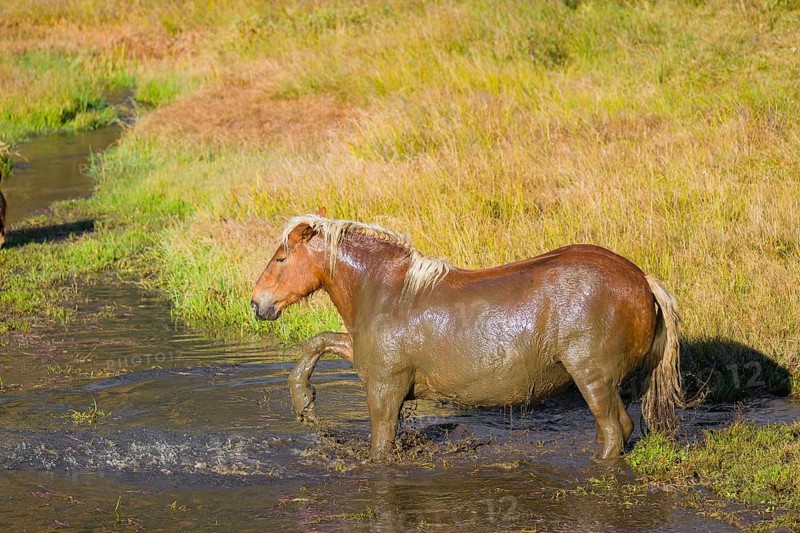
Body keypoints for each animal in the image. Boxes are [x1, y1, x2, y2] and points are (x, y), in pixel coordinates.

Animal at [251, 214, 691, 459]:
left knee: (615, 432)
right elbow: (318, 341)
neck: (385, 291)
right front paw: (304, 401)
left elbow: (381, 447)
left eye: (281, 257)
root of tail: (643, 281)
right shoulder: (363, 357)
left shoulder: (384, 390)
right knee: (621, 428)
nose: (257, 303)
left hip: (592, 378)